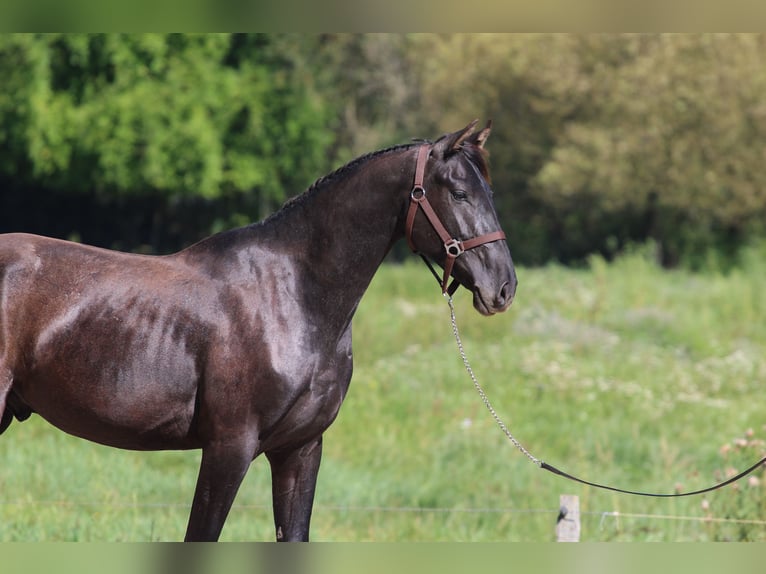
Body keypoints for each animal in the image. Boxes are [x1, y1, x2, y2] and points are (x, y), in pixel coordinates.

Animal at [0, 119, 520, 544]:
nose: (503, 288)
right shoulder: (229, 449)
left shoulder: (300, 450)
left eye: (491, 194)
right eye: (459, 194)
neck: (291, 297)